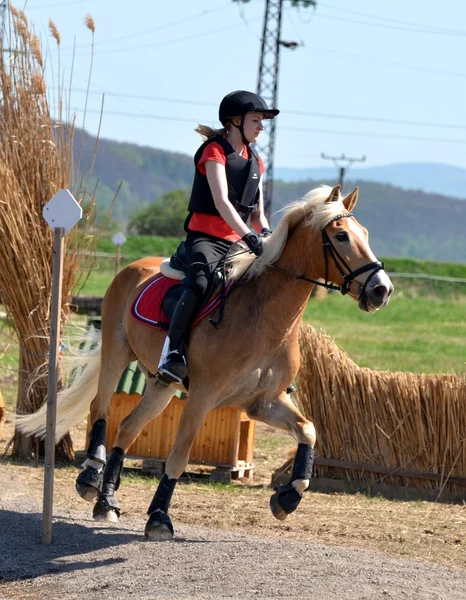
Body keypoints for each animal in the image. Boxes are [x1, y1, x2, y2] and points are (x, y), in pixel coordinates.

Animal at [18, 183, 394, 540]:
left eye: (365, 234)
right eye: (341, 236)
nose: (382, 290)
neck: (266, 317)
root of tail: (133, 267)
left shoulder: (264, 402)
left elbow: (308, 430)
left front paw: (288, 497)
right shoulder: (203, 396)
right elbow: (178, 456)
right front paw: (159, 517)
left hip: (161, 383)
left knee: (127, 428)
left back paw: (107, 501)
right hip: (117, 351)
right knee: (101, 408)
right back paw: (90, 476)